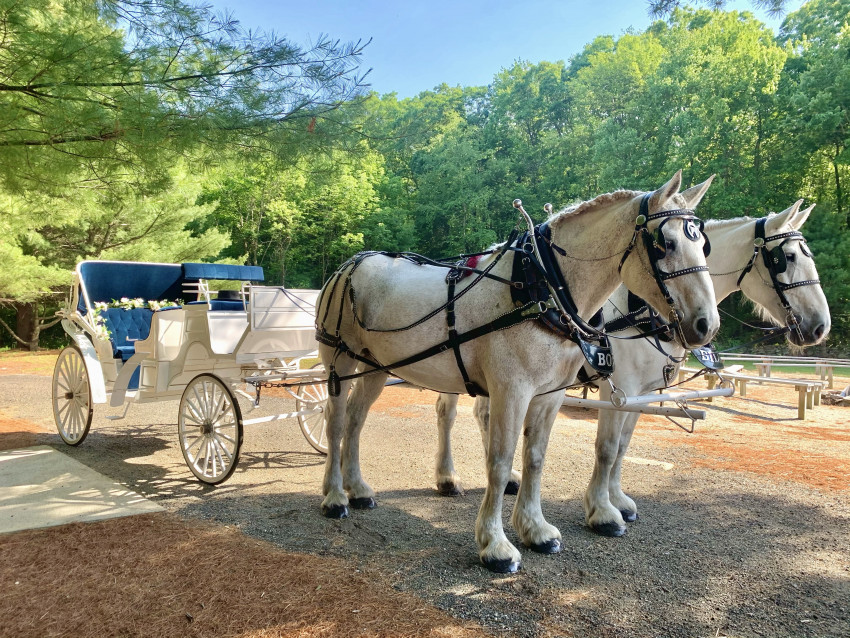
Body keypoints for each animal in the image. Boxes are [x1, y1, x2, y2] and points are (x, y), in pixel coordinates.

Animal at [314, 171, 720, 576]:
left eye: (703, 246)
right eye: (666, 243)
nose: (707, 324)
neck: (542, 287)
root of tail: (350, 264)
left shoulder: (552, 394)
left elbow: (536, 457)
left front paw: (535, 528)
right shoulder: (513, 390)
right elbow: (501, 460)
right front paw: (496, 544)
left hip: (375, 366)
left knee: (356, 420)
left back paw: (359, 489)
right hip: (339, 361)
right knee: (336, 421)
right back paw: (335, 496)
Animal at [430, 199, 828, 540]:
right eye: (787, 257)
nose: (820, 327)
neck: (645, 308)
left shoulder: (643, 391)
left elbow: (622, 446)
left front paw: (617, 500)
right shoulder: (618, 387)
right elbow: (606, 447)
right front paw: (602, 511)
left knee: (483, 414)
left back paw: (508, 478)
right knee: (447, 413)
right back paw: (448, 477)